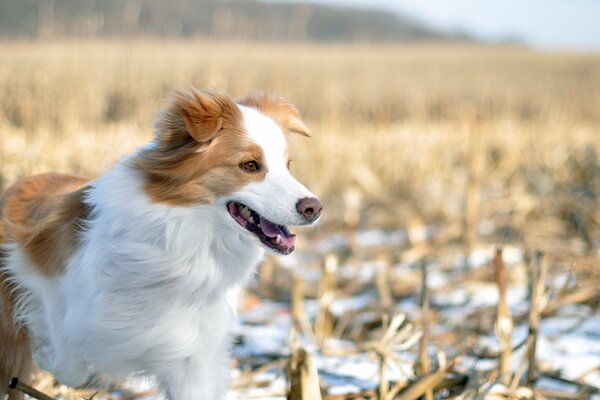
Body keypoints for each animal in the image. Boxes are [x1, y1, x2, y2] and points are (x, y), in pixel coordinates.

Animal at [0, 90, 324, 400]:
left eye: (288, 166)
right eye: (250, 165)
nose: (314, 208)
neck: (183, 240)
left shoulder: (190, 355)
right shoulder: (36, 273)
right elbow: (68, 355)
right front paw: (48, 355)